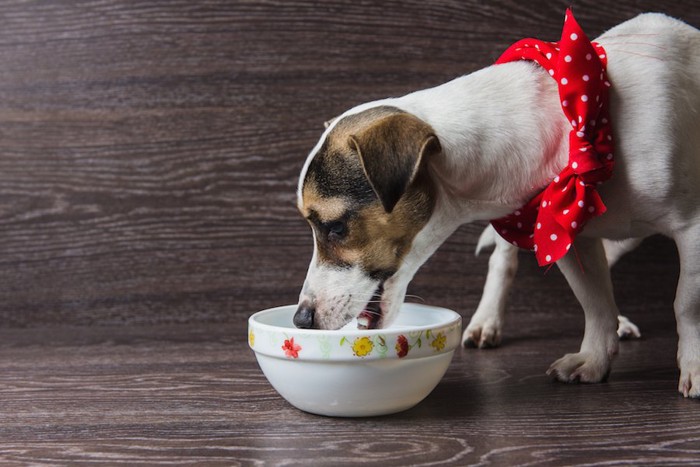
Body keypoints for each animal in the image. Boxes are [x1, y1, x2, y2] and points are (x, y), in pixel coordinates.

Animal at [292, 11, 696, 398]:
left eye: (336, 227)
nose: (301, 320)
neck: (581, 121)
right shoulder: (563, 233)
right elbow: (593, 301)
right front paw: (594, 361)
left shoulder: (689, 228)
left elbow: (685, 302)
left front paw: (692, 367)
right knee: (505, 261)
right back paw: (490, 319)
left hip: (627, 233)